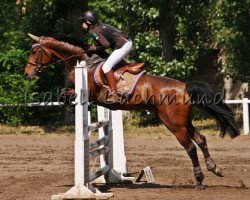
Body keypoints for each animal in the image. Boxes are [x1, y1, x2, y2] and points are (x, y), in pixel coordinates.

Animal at [24, 33, 239, 189]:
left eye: (34, 51)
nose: (27, 74)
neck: (85, 61)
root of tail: (184, 87)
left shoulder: (88, 92)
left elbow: (65, 94)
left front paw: (70, 104)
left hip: (174, 124)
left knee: (191, 147)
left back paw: (199, 180)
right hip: (184, 122)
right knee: (201, 139)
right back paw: (214, 168)